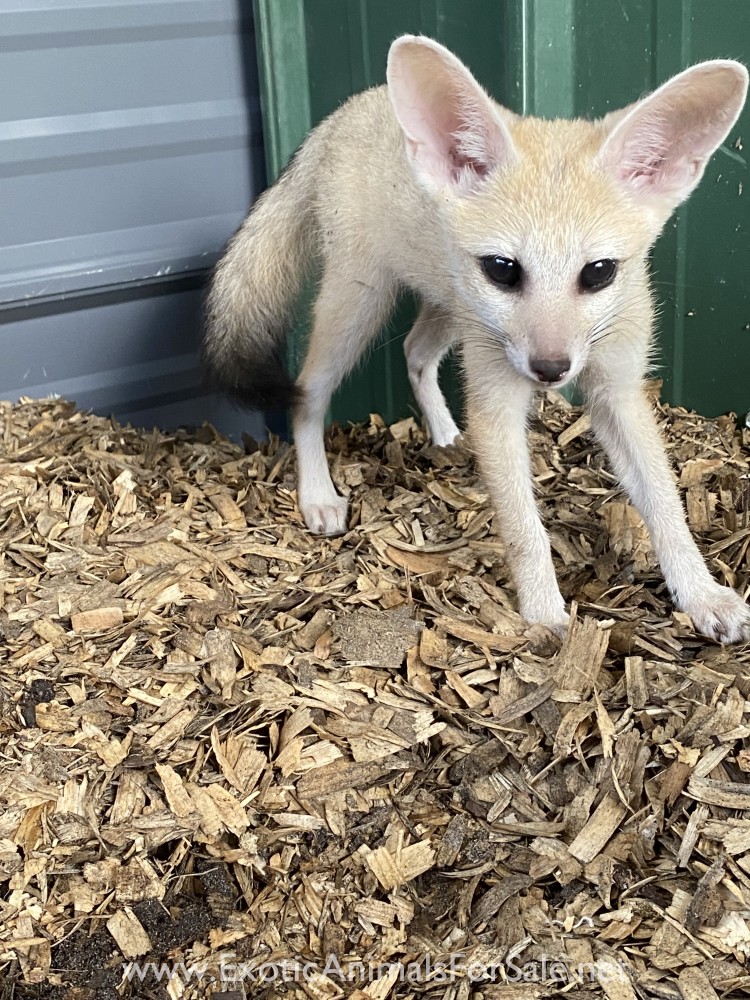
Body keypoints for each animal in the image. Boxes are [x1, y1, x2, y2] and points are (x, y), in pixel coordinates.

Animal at [204, 34, 750, 644]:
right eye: (504, 270)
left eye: (600, 272)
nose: (551, 370)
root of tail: (348, 109)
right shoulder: (496, 404)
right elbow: (524, 528)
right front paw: (544, 617)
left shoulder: (618, 391)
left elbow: (665, 502)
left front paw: (701, 594)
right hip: (359, 307)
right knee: (307, 395)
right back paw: (318, 494)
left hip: (449, 311)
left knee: (413, 354)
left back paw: (445, 436)